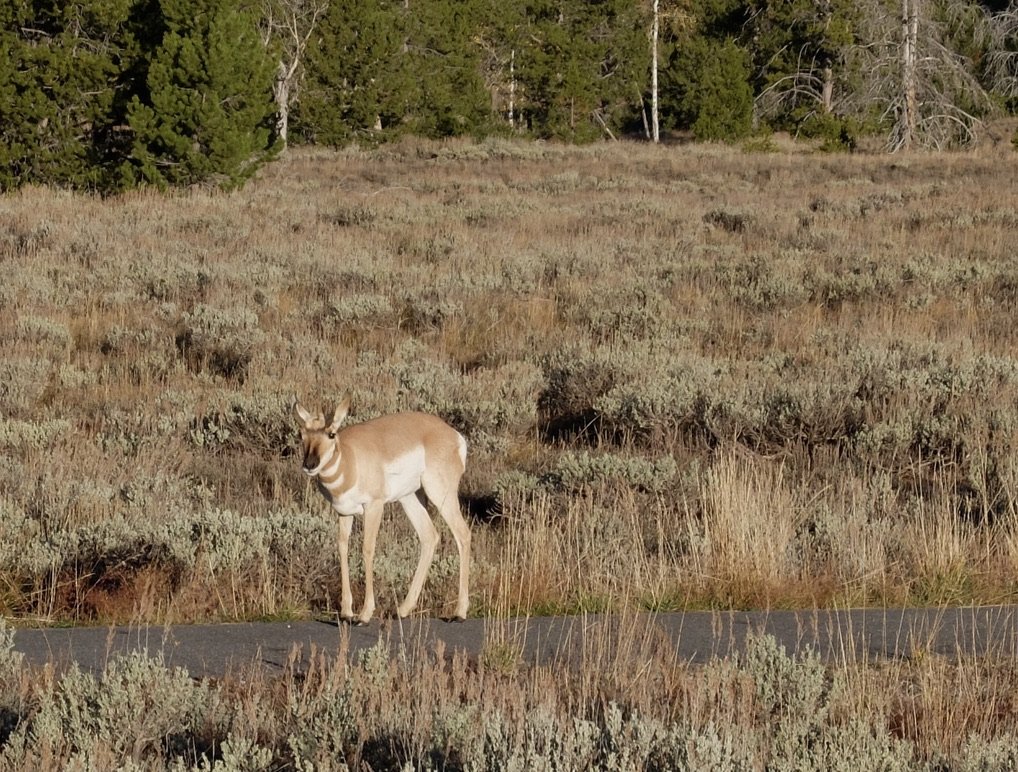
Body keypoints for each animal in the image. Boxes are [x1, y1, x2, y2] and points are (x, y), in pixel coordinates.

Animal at [293, 395, 470, 627]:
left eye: (331, 433)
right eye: (301, 434)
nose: (310, 464)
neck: (349, 458)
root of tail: (452, 434)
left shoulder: (374, 507)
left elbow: (367, 549)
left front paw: (364, 614)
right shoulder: (343, 513)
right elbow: (342, 548)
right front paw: (346, 612)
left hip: (440, 493)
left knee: (463, 534)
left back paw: (459, 613)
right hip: (410, 497)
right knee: (429, 536)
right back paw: (402, 610)